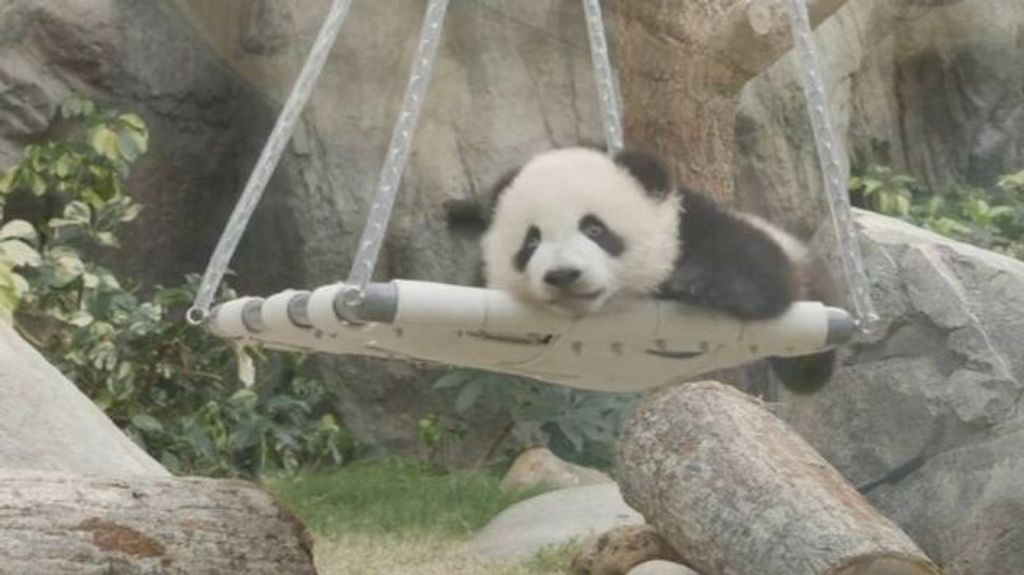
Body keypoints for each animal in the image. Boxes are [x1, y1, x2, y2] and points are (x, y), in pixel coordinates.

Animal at [479, 146, 836, 394]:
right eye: (531, 241)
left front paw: (698, 284)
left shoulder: (689, 225)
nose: (563, 274)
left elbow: (760, 265)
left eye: (594, 229)